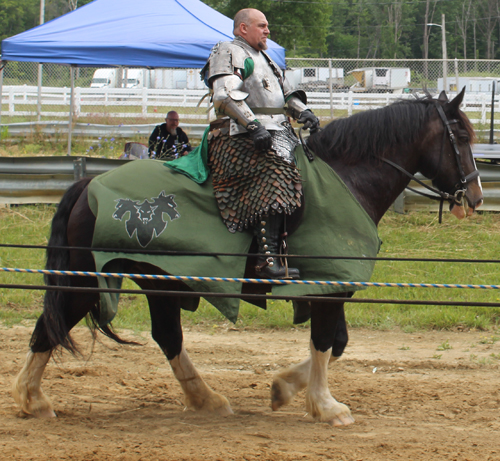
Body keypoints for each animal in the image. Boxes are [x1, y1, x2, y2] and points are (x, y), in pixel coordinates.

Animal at [13, 89, 484, 424]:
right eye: (460, 137)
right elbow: (325, 341)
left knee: (167, 336)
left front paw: (285, 389)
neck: (350, 179)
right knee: (51, 326)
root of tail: (86, 186)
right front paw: (325, 406)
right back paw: (32, 399)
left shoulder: (332, 287)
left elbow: (337, 343)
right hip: (87, 280)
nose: (477, 197)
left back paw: (205, 399)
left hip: (158, 280)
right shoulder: (329, 287)